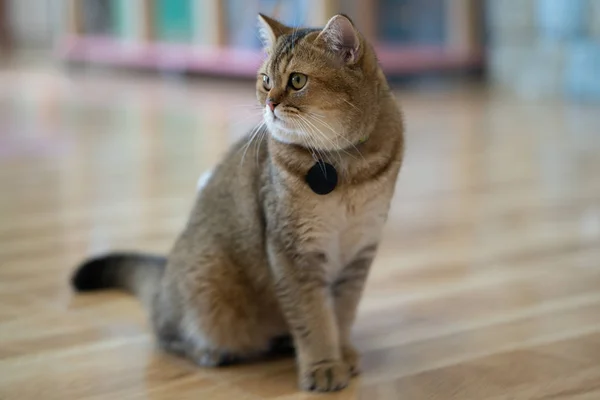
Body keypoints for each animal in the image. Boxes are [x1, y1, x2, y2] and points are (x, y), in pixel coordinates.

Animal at [72, 13, 406, 394]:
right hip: (209, 287)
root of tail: (164, 277)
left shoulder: (359, 253)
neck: (342, 166)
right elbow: (314, 318)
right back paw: (209, 351)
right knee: (165, 334)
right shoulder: (292, 253)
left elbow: (343, 313)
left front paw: (343, 352)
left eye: (297, 80)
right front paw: (323, 364)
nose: (270, 104)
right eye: (265, 80)